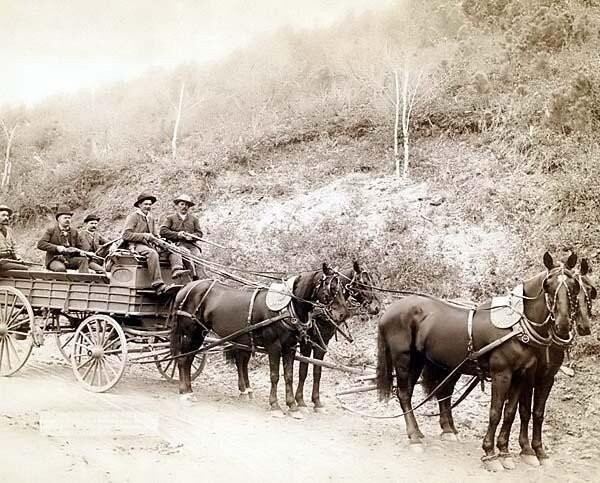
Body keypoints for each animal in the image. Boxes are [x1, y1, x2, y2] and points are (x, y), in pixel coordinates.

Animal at [169, 262, 350, 414]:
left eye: (343, 288)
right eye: (332, 286)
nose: (343, 314)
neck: (287, 308)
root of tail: (185, 288)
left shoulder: (290, 347)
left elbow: (290, 375)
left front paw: (292, 405)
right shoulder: (274, 346)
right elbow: (275, 375)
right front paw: (275, 405)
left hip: (200, 334)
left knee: (191, 359)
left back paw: (189, 390)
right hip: (190, 333)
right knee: (183, 359)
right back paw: (185, 392)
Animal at [294, 260, 380, 412]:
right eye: (363, 283)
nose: (376, 308)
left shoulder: (322, 344)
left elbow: (317, 371)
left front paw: (316, 401)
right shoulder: (306, 343)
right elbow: (303, 370)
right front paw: (300, 400)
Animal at [378, 251, 580, 470]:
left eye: (575, 285)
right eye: (547, 284)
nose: (563, 324)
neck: (517, 328)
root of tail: (388, 311)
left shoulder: (522, 376)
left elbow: (510, 413)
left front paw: (505, 452)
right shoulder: (502, 374)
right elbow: (496, 412)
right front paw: (490, 453)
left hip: (432, 363)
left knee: (439, 393)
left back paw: (440, 431)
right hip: (406, 360)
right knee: (405, 394)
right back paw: (414, 436)